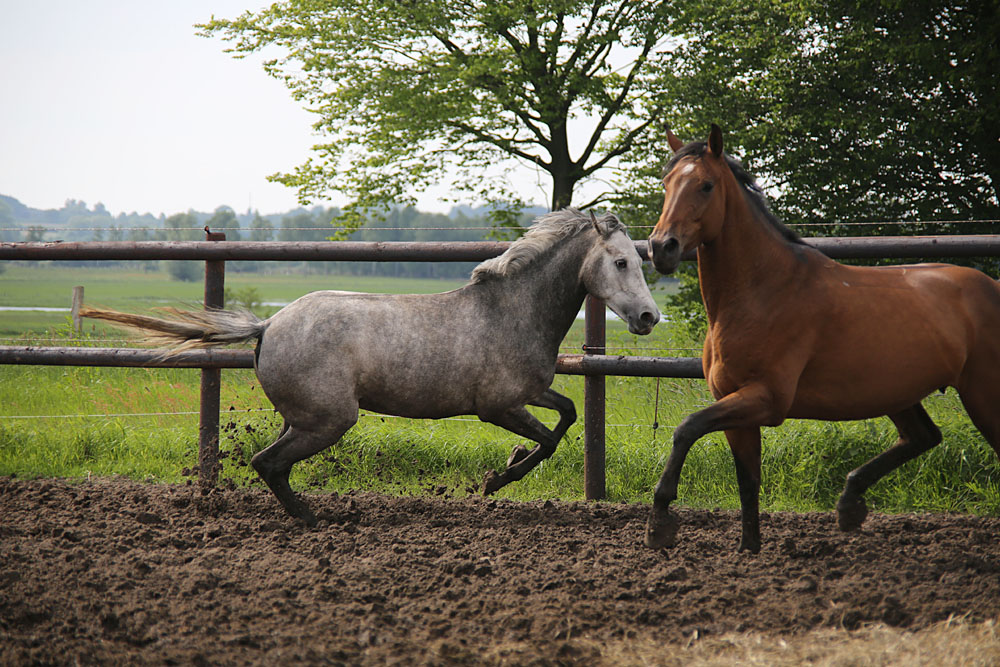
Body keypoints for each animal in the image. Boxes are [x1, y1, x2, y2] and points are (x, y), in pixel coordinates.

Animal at [82, 209, 660, 528]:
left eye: (640, 260)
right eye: (622, 261)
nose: (650, 317)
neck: (512, 312)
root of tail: (268, 325)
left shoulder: (531, 393)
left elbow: (567, 417)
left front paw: (504, 470)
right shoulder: (497, 406)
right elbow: (549, 437)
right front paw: (497, 479)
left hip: (305, 418)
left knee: (272, 464)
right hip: (330, 419)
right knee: (268, 464)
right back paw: (312, 519)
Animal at [644, 125, 996, 552]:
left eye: (706, 185)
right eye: (666, 183)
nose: (661, 248)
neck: (763, 290)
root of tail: (990, 287)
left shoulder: (766, 399)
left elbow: (687, 428)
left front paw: (660, 522)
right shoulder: (734, 403)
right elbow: (747, 481)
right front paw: (748, 548)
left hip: (982, 394)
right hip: (896, 392)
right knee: (922, 436)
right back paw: (850, 504)